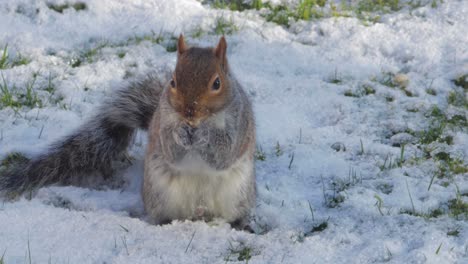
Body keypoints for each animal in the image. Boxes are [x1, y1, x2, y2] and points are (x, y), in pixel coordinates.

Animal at [0, 35, 256, 229]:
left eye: (217, 83)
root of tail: (198, 213)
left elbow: (224, 154)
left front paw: (206, 136)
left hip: (238, 194)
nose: (189, 112)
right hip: (160, 196)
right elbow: (171, 151)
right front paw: (178, 135)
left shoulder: (240, 124)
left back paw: (240, 224)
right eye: (173, 81)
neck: (201, 122)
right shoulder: (162, 123)